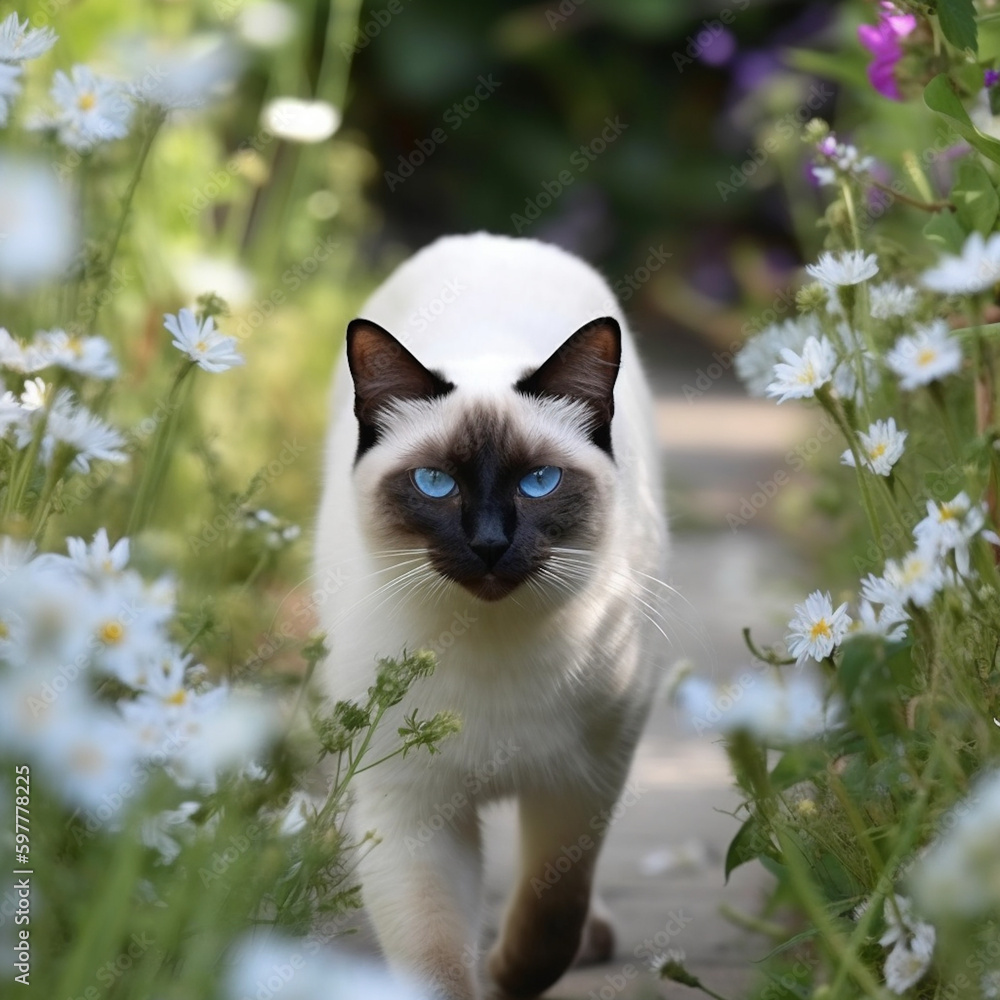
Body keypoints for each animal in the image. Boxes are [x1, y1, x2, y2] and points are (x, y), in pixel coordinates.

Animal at [316, 234, 668, 1000]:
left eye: (538, 482)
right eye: (435, 483)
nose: (488, 544)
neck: (487, 644)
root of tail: (495, 240)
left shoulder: (581, 785)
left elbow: (551, 914)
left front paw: (510, 976)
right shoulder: (413, 811)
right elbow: (436, 965)